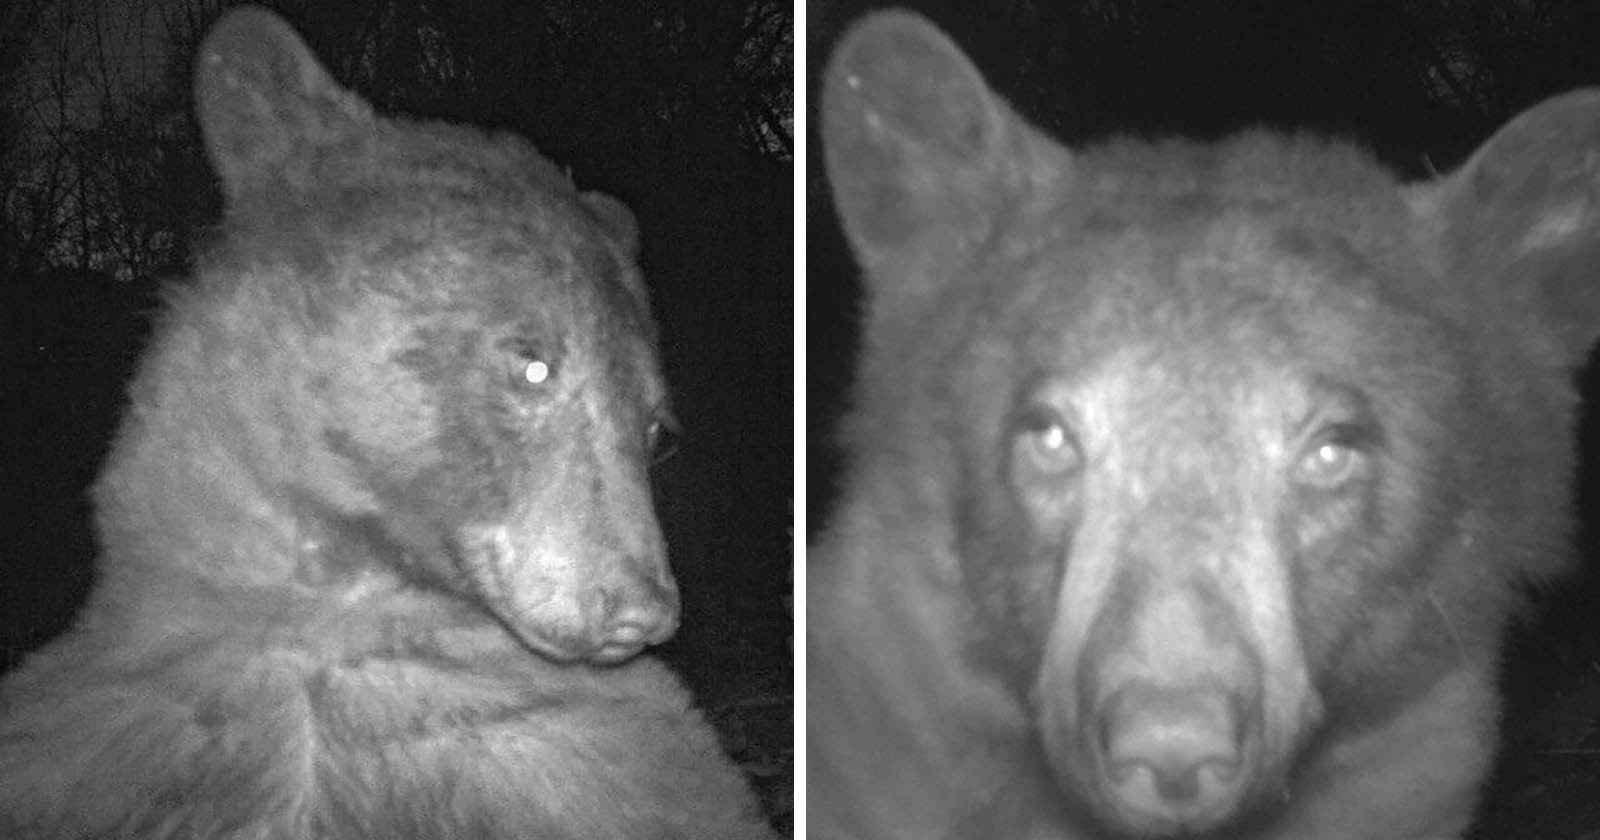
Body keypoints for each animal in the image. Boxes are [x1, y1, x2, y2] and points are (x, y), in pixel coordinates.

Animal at [0, 7, 774, 839]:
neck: (339, 608)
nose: (642, 608)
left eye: (658, 431)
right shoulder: (98, 732)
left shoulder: (599, 758)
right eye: (533, 365)